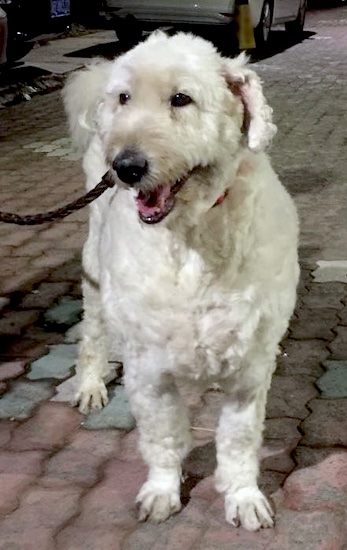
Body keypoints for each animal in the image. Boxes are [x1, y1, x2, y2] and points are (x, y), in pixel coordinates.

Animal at [64, 31, 300, 536]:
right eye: (125, 98)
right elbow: (163, 436)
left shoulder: (250, 367)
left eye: (181, 99)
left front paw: (243, 496)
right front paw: (163, 490)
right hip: (94, 269)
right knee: (92, 333)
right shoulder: (148, 369)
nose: (126, 167)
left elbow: (238, 439)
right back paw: (90, 383)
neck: (191, 235)